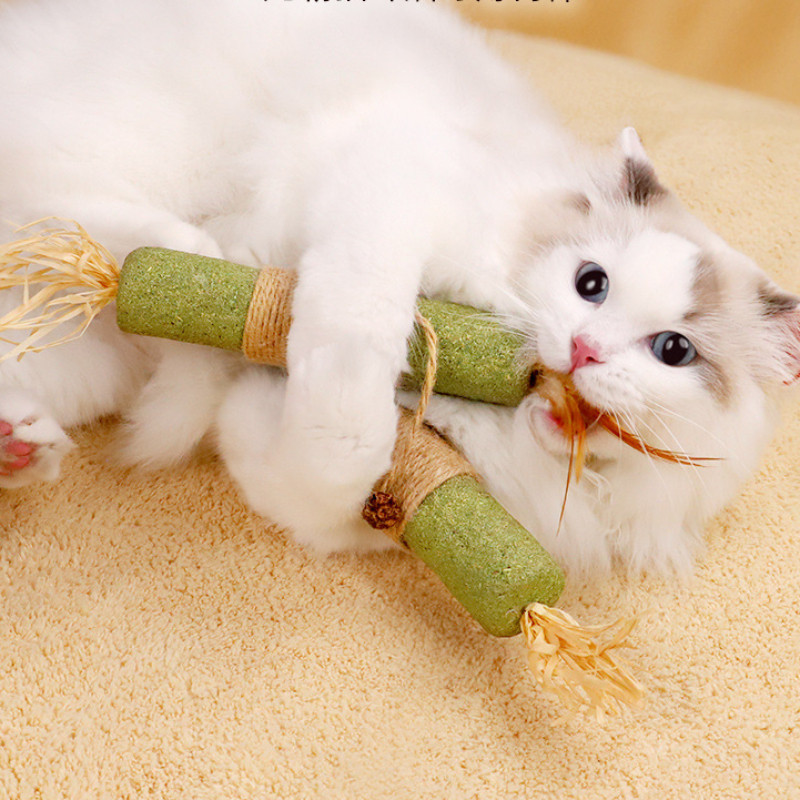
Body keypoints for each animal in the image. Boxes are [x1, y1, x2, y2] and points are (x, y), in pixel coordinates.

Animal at [0, 0, 797, 576]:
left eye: (674, 351)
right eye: (590, 283)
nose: (584, 349)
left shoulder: (354, 510)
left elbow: (316, 470)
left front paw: (269, 393)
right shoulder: (392, 183)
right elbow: (348, 394)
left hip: (91, 362)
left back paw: (24, 446)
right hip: (151, 145)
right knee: (56, 188)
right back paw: (181, 254)